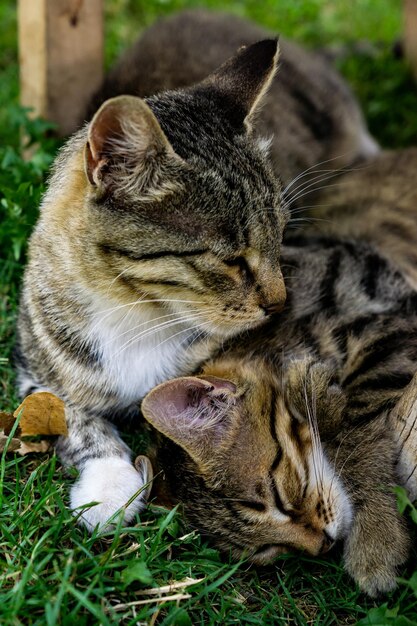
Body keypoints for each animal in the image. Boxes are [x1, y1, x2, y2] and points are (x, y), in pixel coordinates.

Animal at [16, 40, 290, 528]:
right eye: (232, 260)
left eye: (281, 237)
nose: (280, 303)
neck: (138, 313)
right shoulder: (32, 364)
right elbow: (70, 413)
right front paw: (109, 484)